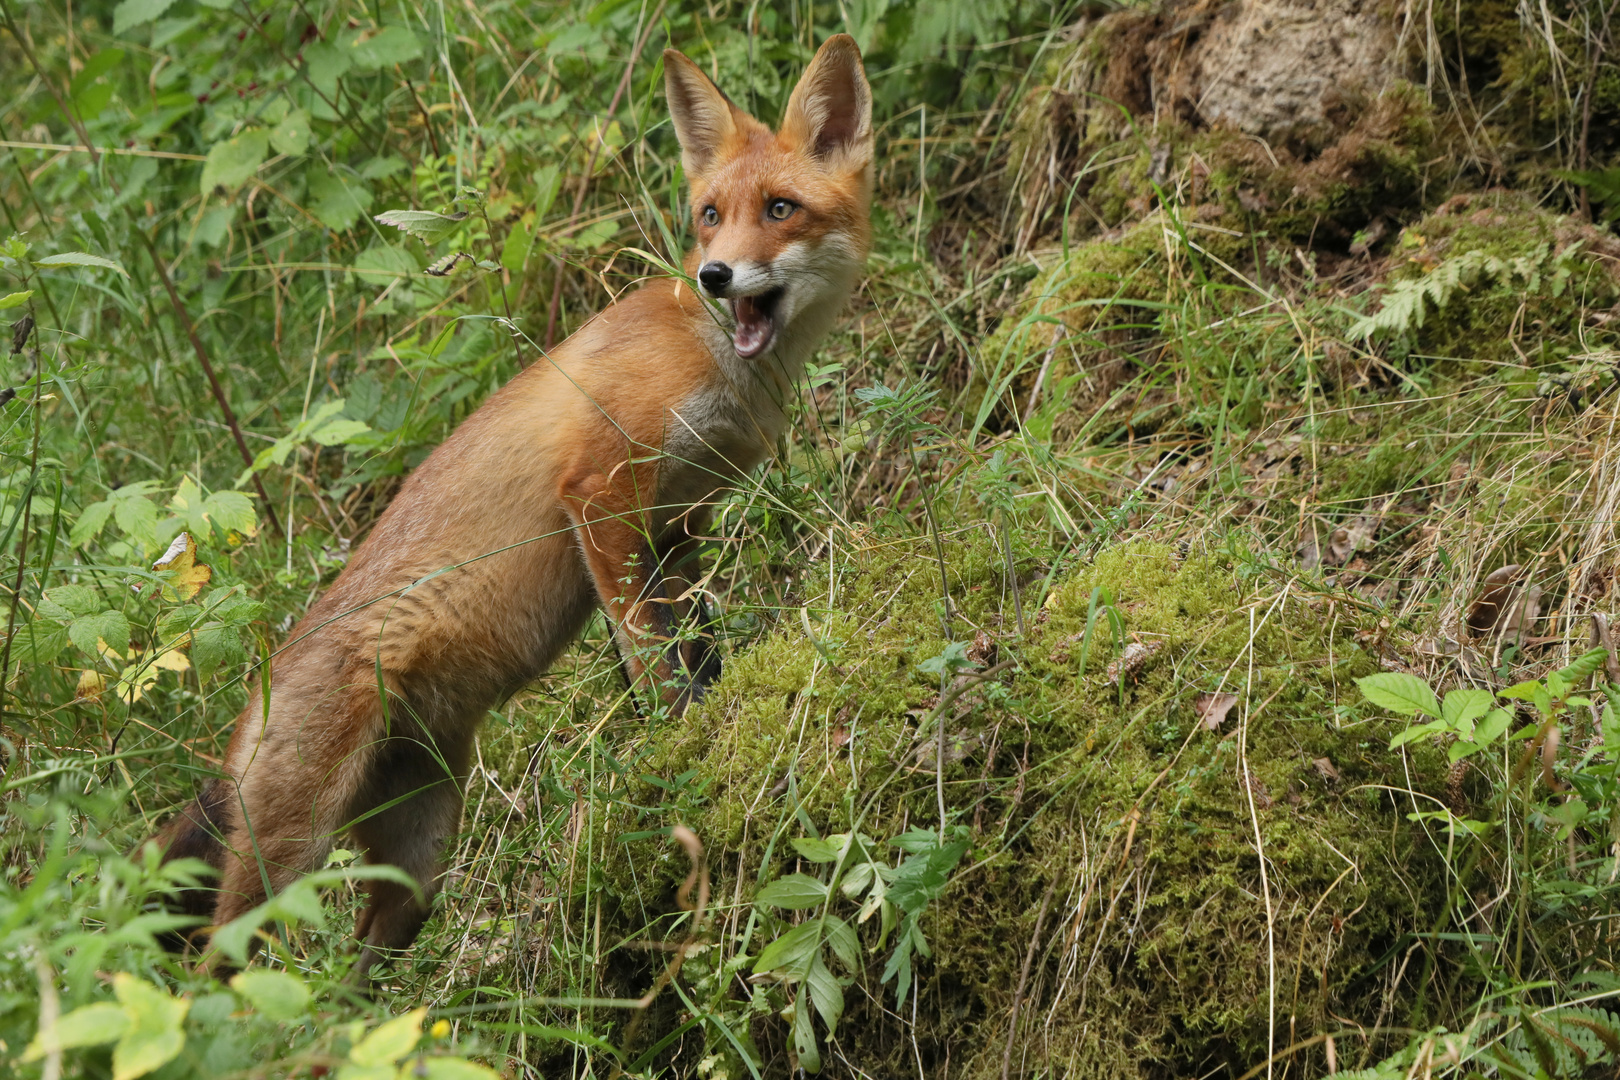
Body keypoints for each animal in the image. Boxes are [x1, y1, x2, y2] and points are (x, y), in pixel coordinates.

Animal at [152, 35, 874, 977]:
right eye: (711, 215)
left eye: (781, 209)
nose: (716, 275)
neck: (716, 358)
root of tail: (255, 694)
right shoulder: (601, 493)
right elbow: (649, 659)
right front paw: (676, 747)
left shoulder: (678, 526)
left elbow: (694, 649)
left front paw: (709, 717)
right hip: (288, 858)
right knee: (216, 969)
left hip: (419, 859)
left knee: (355, 971)